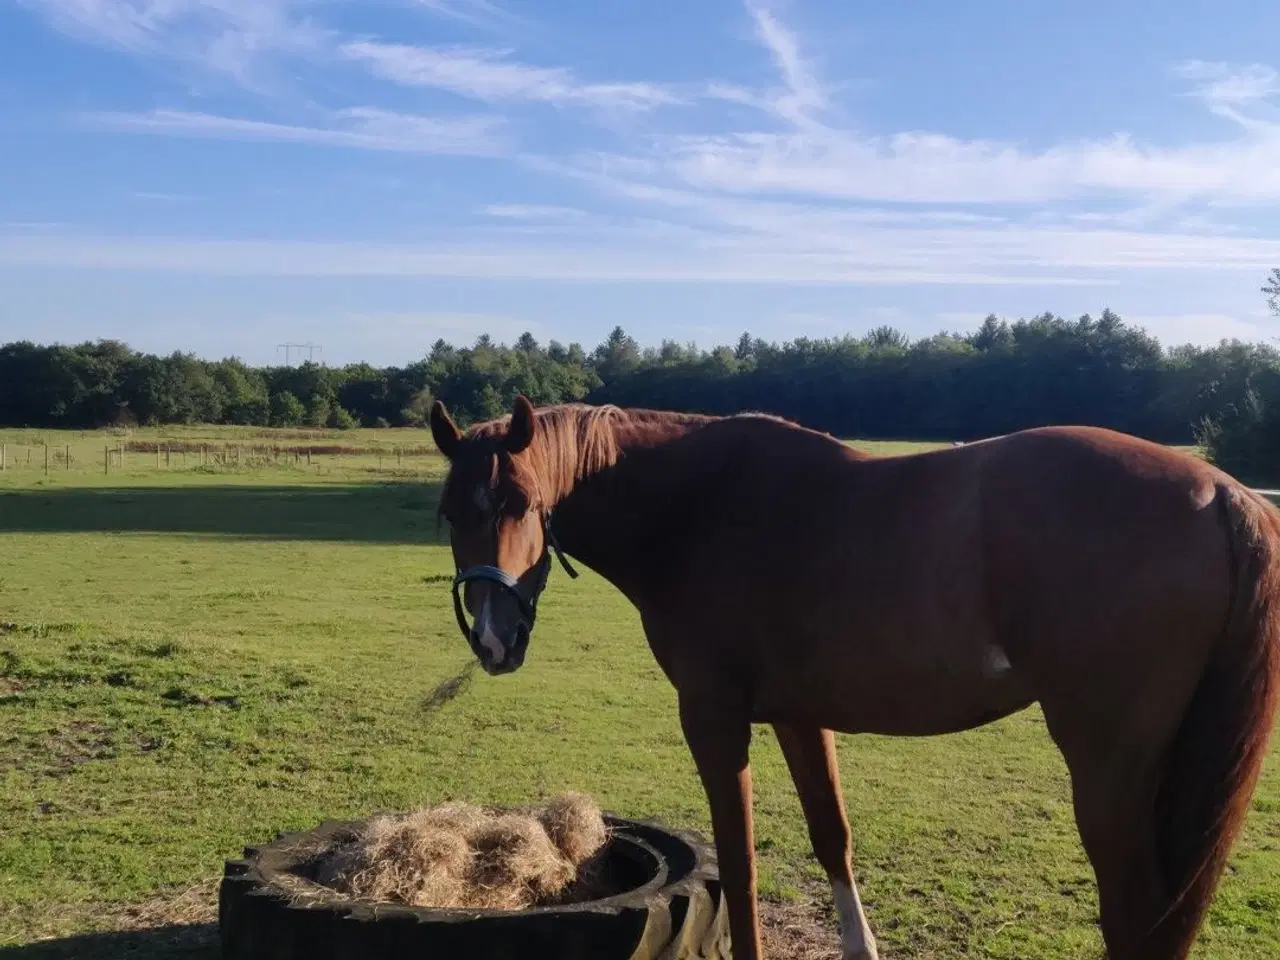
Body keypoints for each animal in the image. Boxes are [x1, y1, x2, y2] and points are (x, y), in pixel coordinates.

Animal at [430, 394, 1280, 957]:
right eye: (449, 511)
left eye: (521, 501)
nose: (494, 640)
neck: (700, 508)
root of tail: (1222, 492)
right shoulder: (800, 716)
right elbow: (832, 838)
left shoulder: (713, 719)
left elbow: (739, 866)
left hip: (1107, 769)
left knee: (1137, 912)